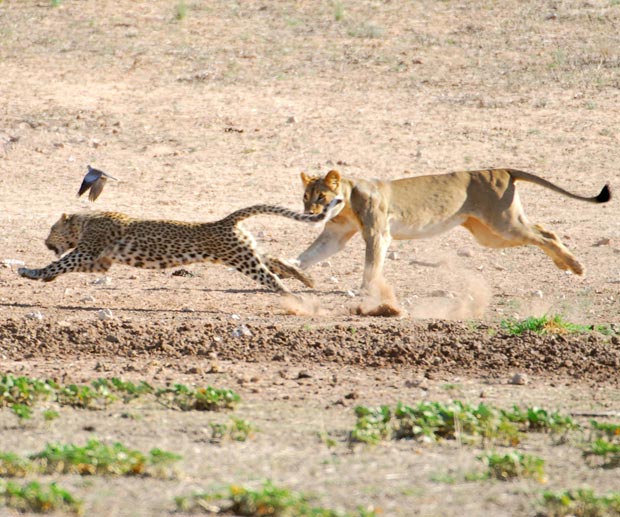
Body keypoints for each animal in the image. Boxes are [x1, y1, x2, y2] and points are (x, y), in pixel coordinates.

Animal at [18, 199, 344, 294]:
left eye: (51, 229)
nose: (45, 241)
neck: (85, 221)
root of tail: (226, 220)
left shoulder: (87, 251)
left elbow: (60, 261)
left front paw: (31, 272)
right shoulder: (99, 262)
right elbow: (64, 266)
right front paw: (46, 277)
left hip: (243, 260)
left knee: (272, 278)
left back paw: (292, 298)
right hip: (248, 251)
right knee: (277, 261)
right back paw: (306, 282)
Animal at [294, 169, 612, 290]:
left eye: (321, 197)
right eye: (306, 197)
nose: (308, 213)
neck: (347, 202)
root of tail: (503, 170)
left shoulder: (378, 233)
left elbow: (372, 263)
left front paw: (366, 290)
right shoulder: (335, 236)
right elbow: (308, 255)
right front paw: (291, 268)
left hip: (503, 223)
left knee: (544, 234)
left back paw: (576, 266)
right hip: (491, 235)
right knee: (546, 231)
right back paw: (565, 265)